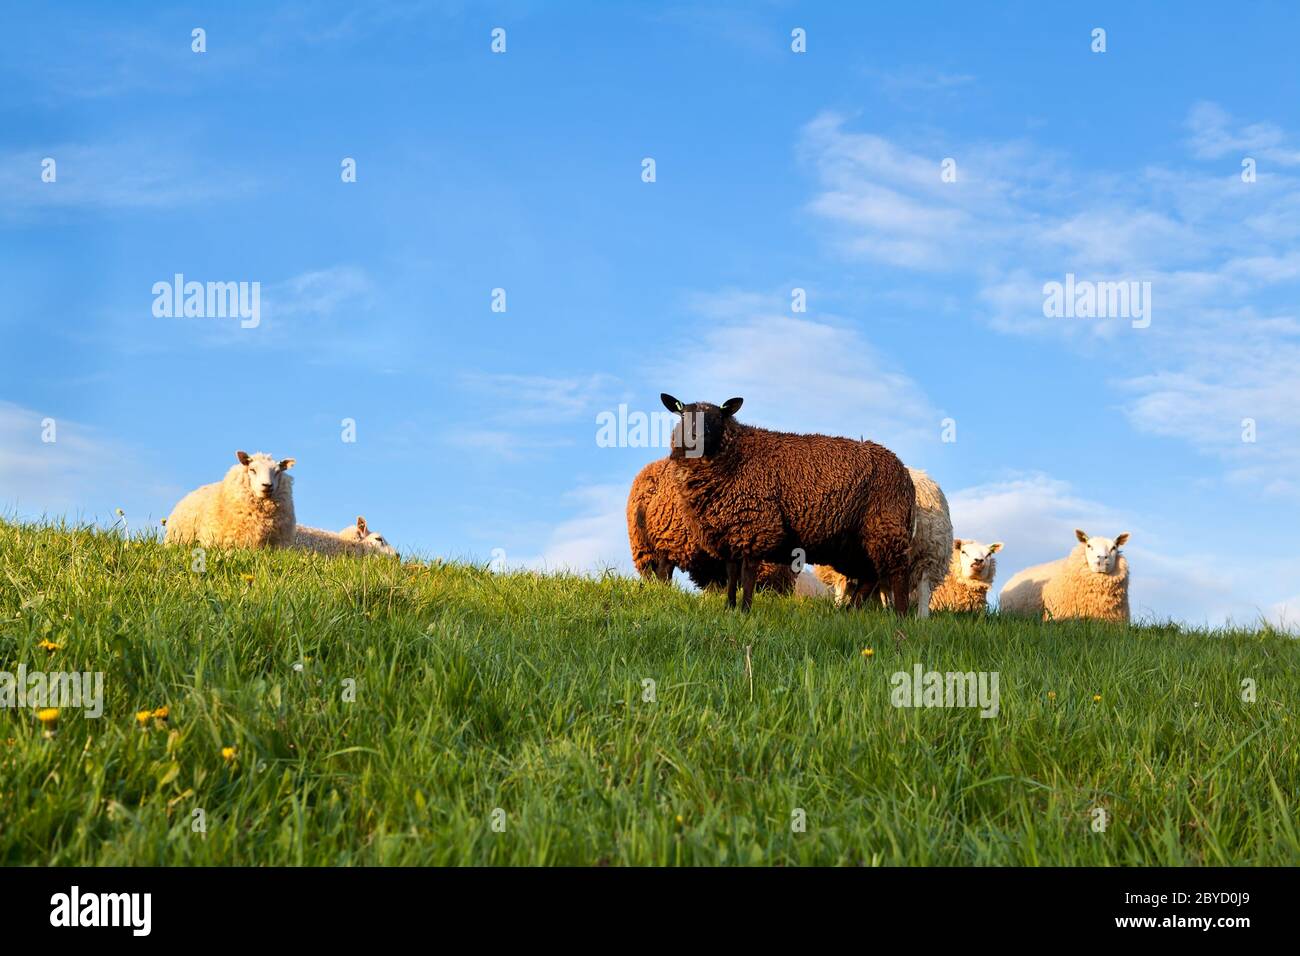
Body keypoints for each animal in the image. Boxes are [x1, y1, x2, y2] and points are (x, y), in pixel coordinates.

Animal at [660, 395, 915, 613]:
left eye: (717, 417)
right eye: (683, 415)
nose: (696, 437)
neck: (735, 455)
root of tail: (903, 472)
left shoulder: (755, 525)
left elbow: (747, 575)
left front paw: (745, 610)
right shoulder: (730, 530)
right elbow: (732, 575)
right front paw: (729, 608)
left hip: (885, 525)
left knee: (898, 573)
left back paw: (900, 616)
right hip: (855, 542)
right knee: (869, 576)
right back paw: (848, 612)